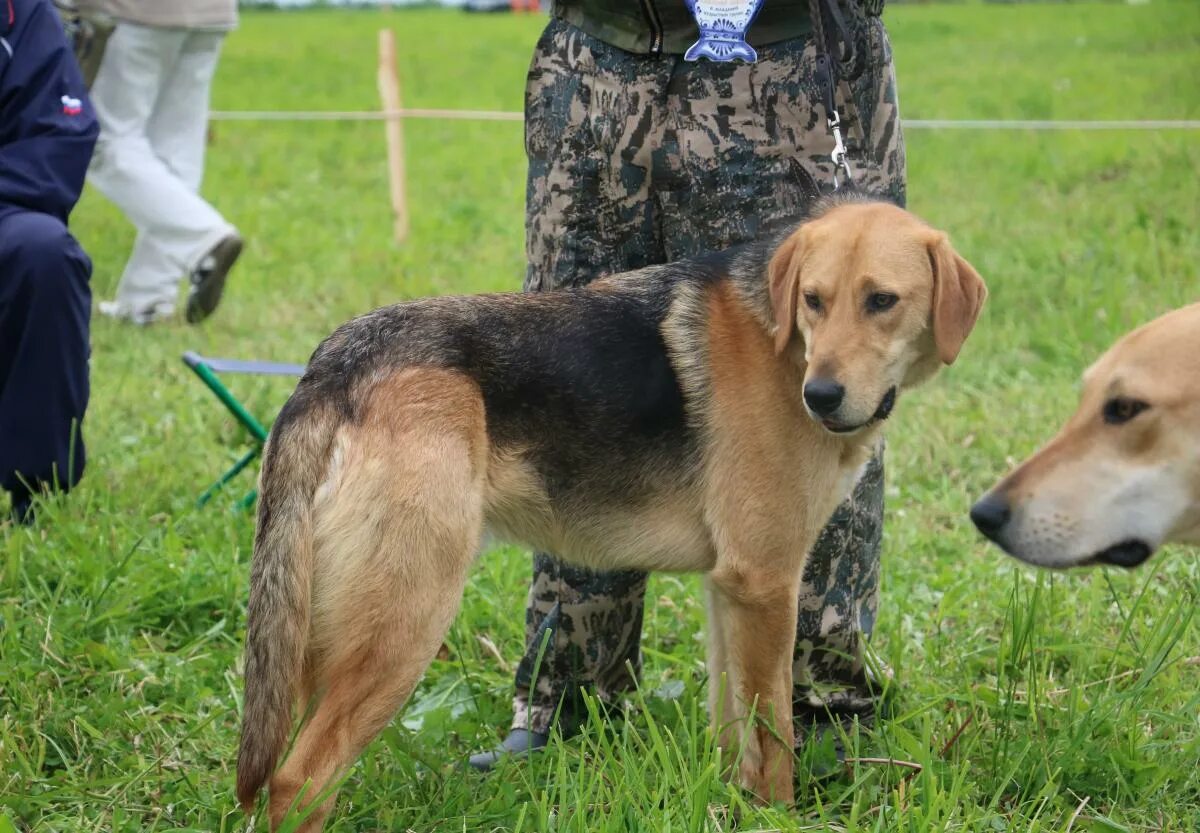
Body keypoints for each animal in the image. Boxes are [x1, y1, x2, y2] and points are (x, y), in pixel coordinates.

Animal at [234, 195, 984, 830]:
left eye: (882, 302)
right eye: (814, 301)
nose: (820, 396)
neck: (782, 340)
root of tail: (333, 365)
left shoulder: (731, 590)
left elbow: (734, 728)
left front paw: (732, 805)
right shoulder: (767, 585)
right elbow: (774, 738)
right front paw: (776, 816)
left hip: (318, 637)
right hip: (405, 620)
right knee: (298, 779)